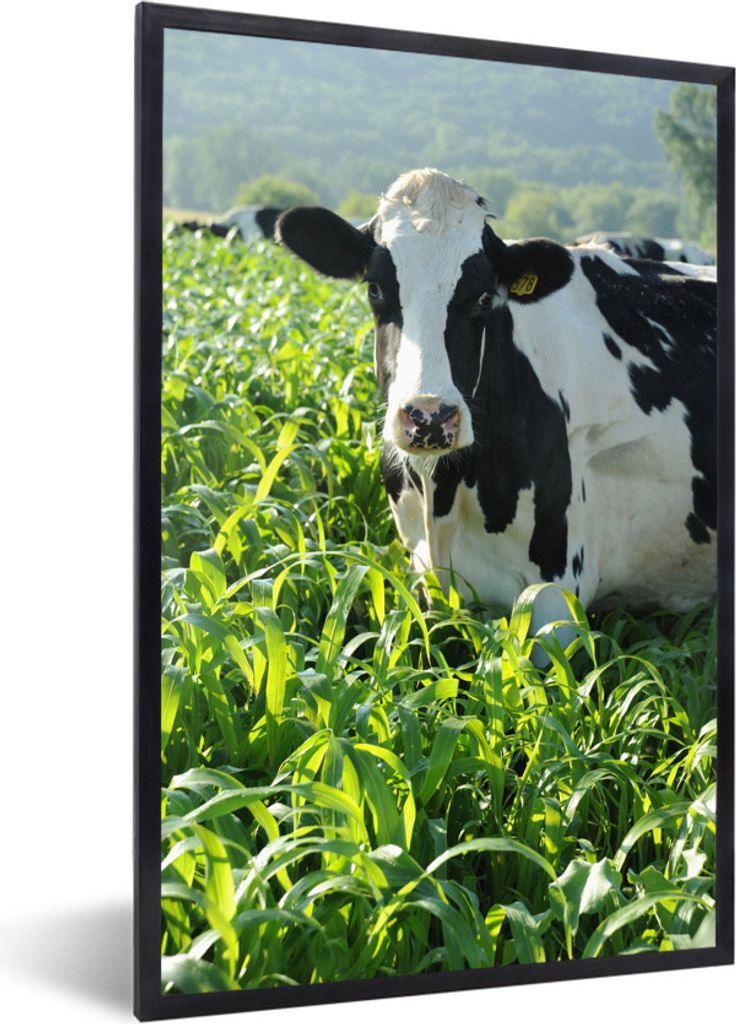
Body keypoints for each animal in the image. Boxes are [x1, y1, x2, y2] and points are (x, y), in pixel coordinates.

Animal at [275, 168, 717, 646]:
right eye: (375, 289)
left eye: (485, 297)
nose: (429, 416)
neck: (442, 495)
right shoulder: (425, 579)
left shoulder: (555, 594)